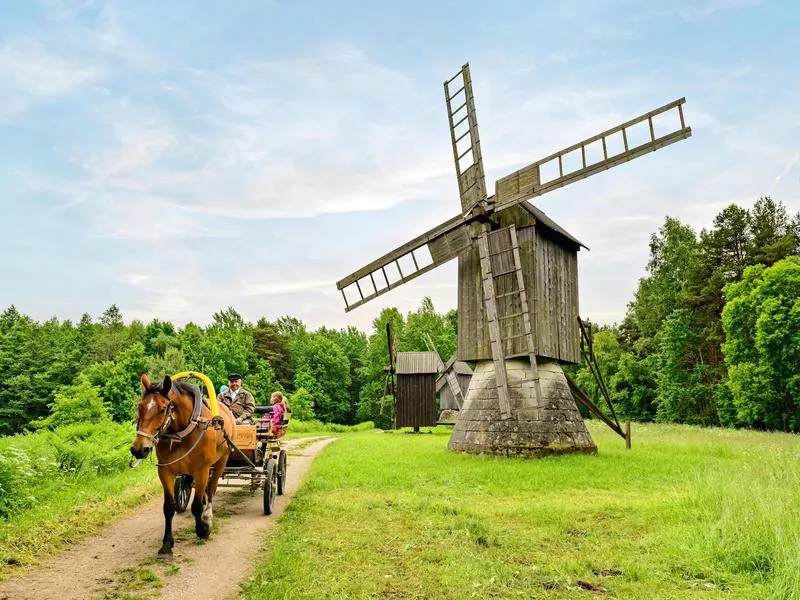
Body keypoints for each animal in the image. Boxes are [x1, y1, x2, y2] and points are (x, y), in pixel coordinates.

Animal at [130, 372, 234, 556]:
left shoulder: (202, 470)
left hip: (222, 460)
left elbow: (197, 505)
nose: (139, 449)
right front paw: (166, 544)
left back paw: (208, 516)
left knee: (211, 489)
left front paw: (203, 529)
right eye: (140, 406)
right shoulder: (165, 472)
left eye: (162, 409)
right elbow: (169, 507)